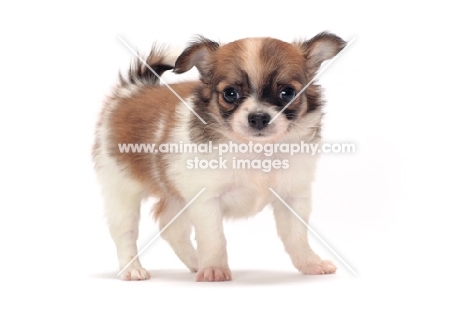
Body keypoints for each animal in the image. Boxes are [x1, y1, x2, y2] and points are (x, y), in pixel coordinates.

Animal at [92, 33, 348, 282]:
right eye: (230, 94)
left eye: (287, 93)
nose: (258, 117)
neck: (255, 150)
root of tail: (132, 90)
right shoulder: (207, 201)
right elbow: (214, 238)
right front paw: (214, 269)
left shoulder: (292, 196)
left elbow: (297, 236)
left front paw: (310, 263)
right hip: (122, 189)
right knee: (125, 232)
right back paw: (132, 269)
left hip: (175, 193)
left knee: (171, 227)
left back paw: (195, 262)